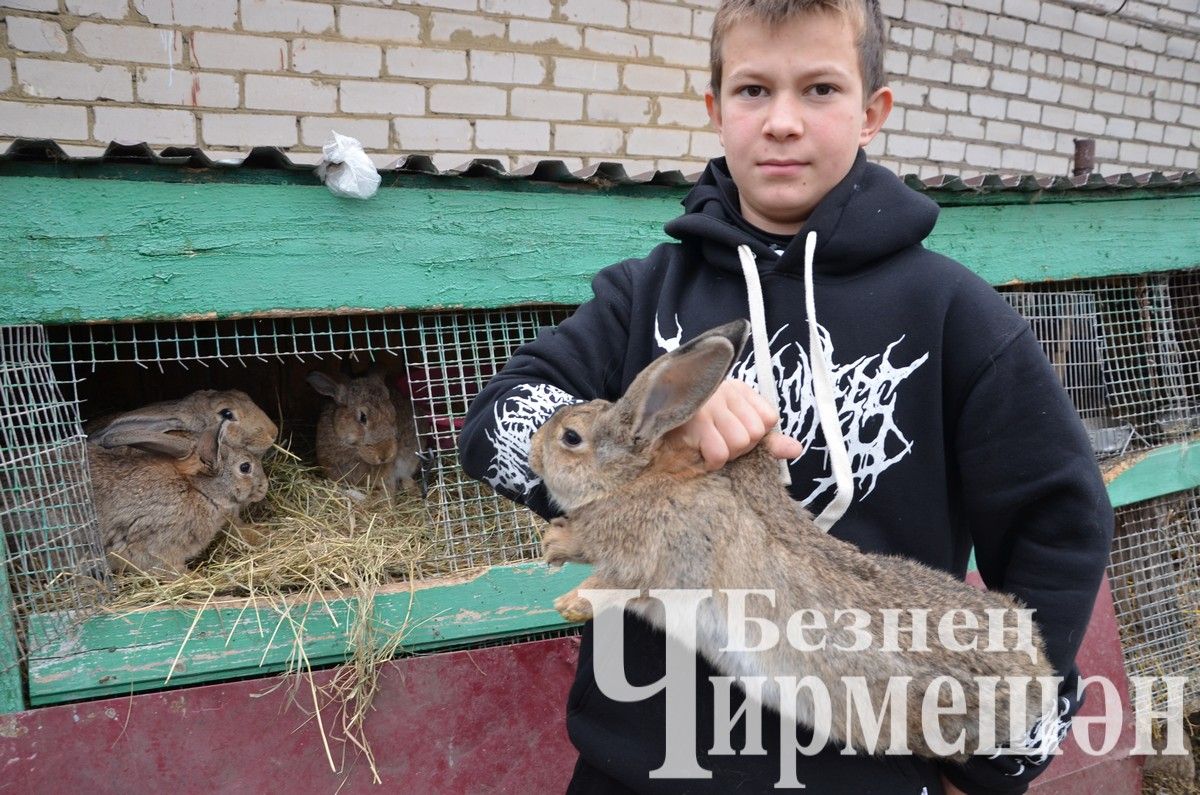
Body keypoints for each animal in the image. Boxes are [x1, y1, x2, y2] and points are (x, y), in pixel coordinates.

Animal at [89, 417, 270, 578]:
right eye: (245, 467)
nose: (265, 487)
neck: (200, 491)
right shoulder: (154, 547)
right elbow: (168, 568)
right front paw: (196, 577)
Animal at [530, 321, 1056, 768]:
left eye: (570, 438)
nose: (533, 451)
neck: (634, 481)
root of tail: (1041, 676)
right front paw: (555, 542)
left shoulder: (655, 562)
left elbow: (612, 585)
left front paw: (569, 603)